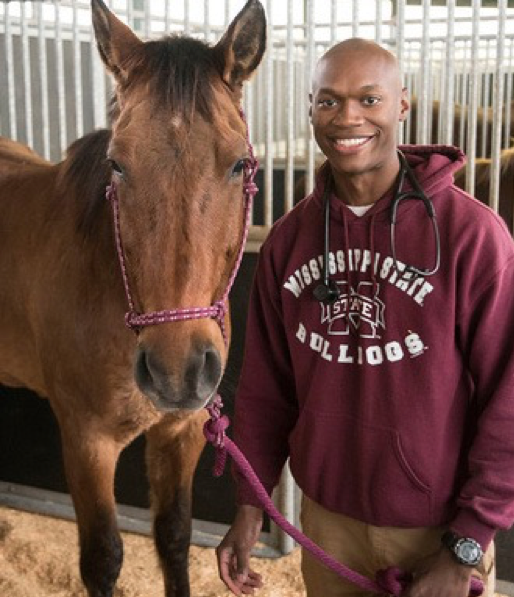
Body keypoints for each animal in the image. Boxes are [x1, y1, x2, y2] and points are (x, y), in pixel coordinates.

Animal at [0, 1, 266, 596]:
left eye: (239, 163)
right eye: (117, 163)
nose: (176, 371)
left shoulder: (181, 431)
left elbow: (174, 536)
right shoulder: (86, 441)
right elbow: (103, 556)